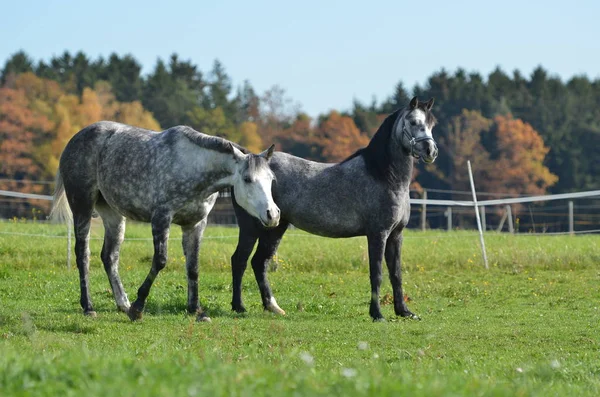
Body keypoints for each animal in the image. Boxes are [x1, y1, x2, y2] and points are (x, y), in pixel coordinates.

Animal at [50, 121, 280, 322]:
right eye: (247, 179)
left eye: (271, 179)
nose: (273, 214)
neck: (193, 167)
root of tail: (75, 139)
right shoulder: (161, 217)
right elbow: (160, 261)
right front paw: (138, 308)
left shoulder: (195, 224)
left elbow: (193, 266)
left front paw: (196, 310)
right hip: (82, 207)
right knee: (83, 255)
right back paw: (89, 307)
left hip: (113, 214)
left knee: (110, 257)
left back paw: (123, 303)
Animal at [230, 97, 436, 320]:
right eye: (414, 122)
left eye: (432, 124)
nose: (430, 151)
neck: (384, 175)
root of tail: (245, 164)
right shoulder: (378, 234)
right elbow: (377, 273)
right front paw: (377, 314)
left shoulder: (396, 235)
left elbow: (396, 273)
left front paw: (404, 311)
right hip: (251, 227)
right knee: (240, 260)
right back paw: (238, 306)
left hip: (275, 226)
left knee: (260, 262)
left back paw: (272, 307)